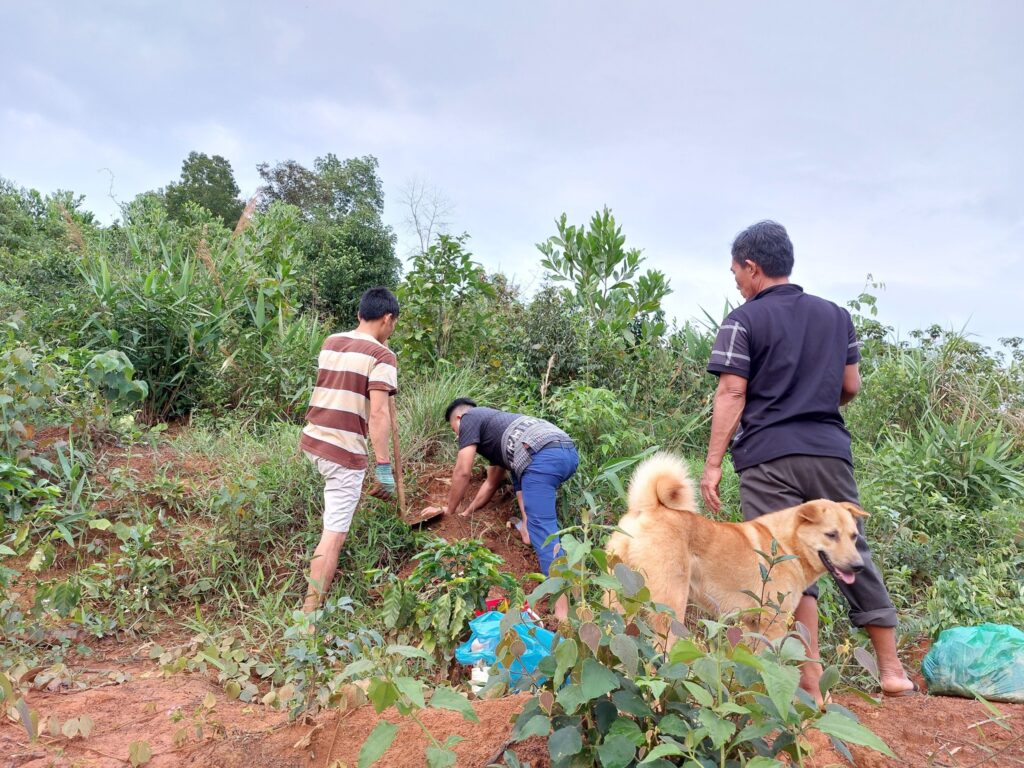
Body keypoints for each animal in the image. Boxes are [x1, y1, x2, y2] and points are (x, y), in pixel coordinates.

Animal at [605, 452, 867, 642]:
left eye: (854, 536)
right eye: (831, 535)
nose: (859, 566)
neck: (785, 545)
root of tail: (648, 507)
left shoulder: (751, 624)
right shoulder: (773, 623)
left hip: (618, 601)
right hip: (670, 610)